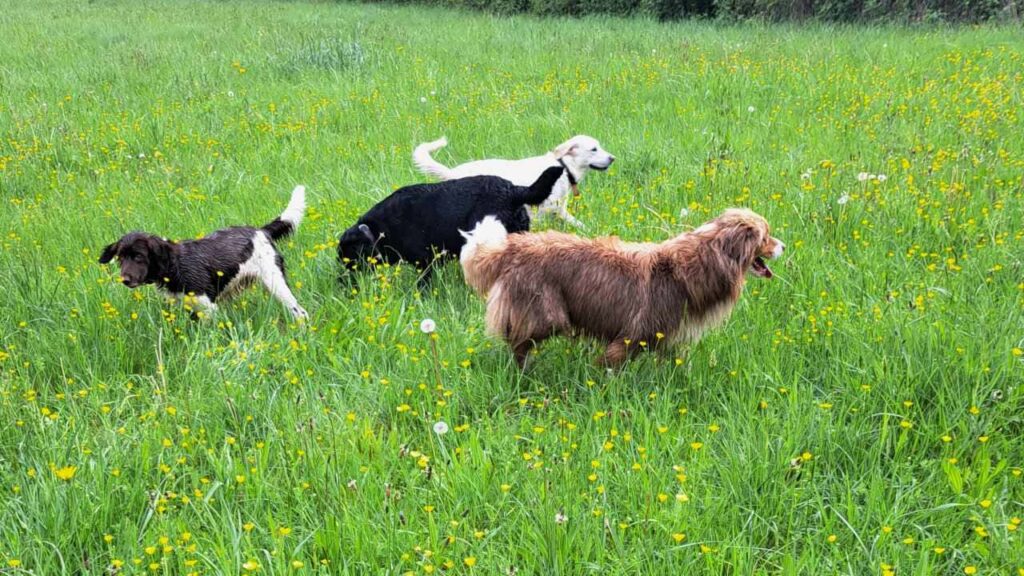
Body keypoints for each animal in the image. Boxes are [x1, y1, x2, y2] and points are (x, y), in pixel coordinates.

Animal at [99, 183, 307, 317]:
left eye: (139, 257)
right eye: (120, 259)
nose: (125, 279)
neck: (175, 266)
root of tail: (261, 231)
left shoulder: (208, 309)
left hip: (276, 283)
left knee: (301, 313)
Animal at [411, 134, 610, 226]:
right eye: (594, 149)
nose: (612, 158)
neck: (564, 167)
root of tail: (451, 173)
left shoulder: (559, 212)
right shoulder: (536, 215)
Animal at [458, 208, 782, 364]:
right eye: (766, 237)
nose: (783, 245)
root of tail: (510, 247)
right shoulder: (633, 335)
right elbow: (611, 364)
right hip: (546, 315)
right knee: (518, 344)